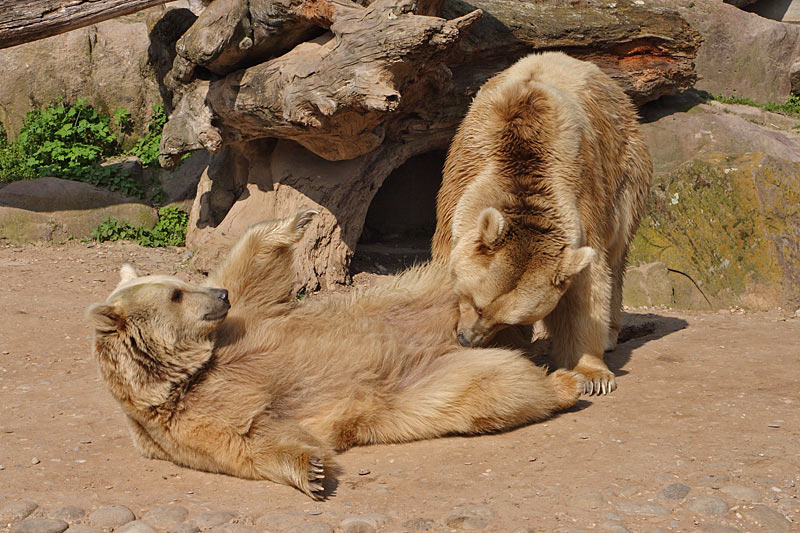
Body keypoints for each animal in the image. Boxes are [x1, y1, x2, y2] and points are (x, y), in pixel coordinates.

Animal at [87, 209, 584, 498]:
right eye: (175, 294)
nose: (219, 296)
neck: (188, 372)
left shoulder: (243, 325)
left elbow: (254, 274)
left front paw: (296, 219)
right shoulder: (186, 421)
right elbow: (250, 439)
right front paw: (313, 471)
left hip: (413, 294)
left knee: (464, 279)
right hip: (422, 383)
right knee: (490, 387)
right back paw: (562, 382)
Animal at [434, 52, 652, 394]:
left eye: (505, 319)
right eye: (476, 303)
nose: (467, 338)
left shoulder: (581, 201)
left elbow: (587, 288)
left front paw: (593, 376)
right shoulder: (460, 181)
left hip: (625, 169)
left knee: (618, 252)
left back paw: (610, 334)